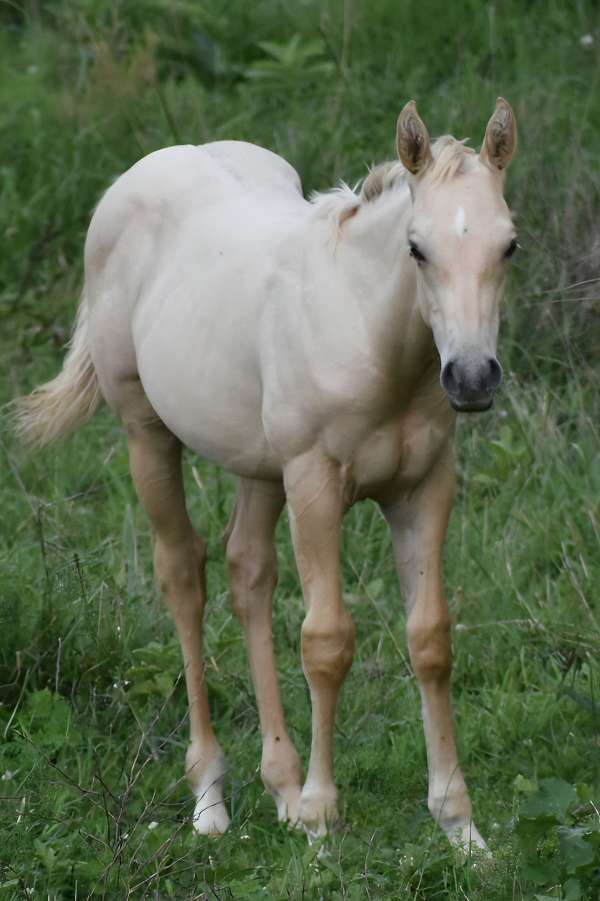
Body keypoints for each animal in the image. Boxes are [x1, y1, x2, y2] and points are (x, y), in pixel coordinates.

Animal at [15, 98, 518, 851]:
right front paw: (321, 819)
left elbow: (430, 637)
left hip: (258, 465)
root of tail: (142, 173)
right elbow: (326, 641)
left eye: (508, 245)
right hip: (146, 432)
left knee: (247, 572)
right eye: (417, 248)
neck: (368, 333)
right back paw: (211, 796)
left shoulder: (424, 488)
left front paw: (460, 828)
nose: (472, 377)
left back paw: (278, 781)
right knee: (183, 573)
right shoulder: (315, 482)